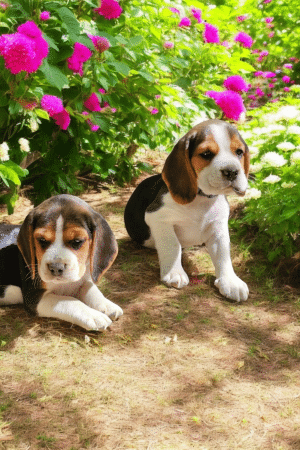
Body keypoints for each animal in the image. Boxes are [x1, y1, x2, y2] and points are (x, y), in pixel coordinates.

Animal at [0, 194, 123, 330]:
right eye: (42, 240)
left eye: (77, 241)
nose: (55, 268)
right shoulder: (34, 297)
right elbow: (68, 301)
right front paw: (94, 315)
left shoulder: (82, 279)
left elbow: (91, 289)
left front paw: (106, 305)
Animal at [123, 119, 250, 302]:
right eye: (206, 154)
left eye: (239, 152)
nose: (231, 171)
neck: (202, 199)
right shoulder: (159, 218)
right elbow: (172, 244)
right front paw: (174, 273)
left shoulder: (218, 226)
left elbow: (223, 253)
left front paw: (231, 281)